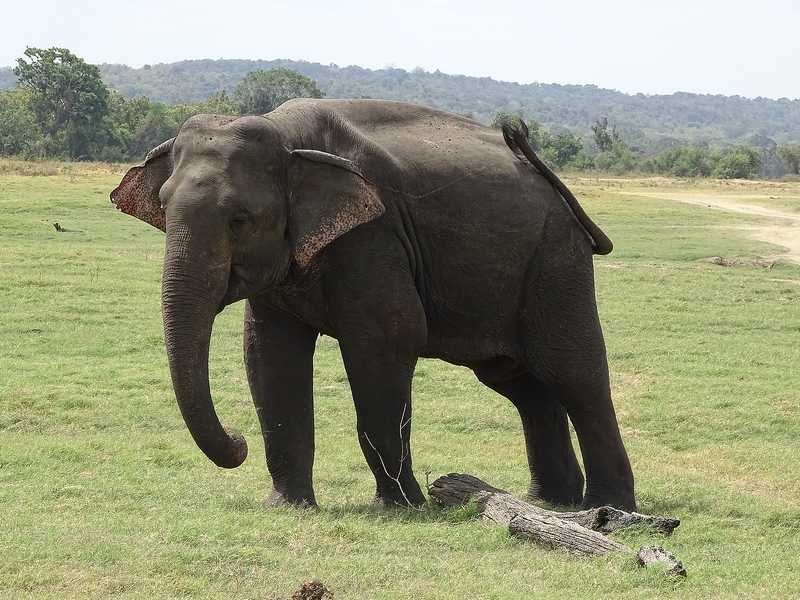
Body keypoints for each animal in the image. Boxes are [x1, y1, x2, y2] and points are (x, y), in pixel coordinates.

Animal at [110, 98, 635, 511]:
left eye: (240, 220)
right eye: (162, 206)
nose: (237, 444)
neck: (286, 134)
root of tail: (555, 185)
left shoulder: (373, 236)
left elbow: (385, 342)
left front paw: (401, 508)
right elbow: (269, 354)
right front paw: (287, 505)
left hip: (555, 259)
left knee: (575, 373)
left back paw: (607, 508)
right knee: (520, 384)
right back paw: (549, 502)